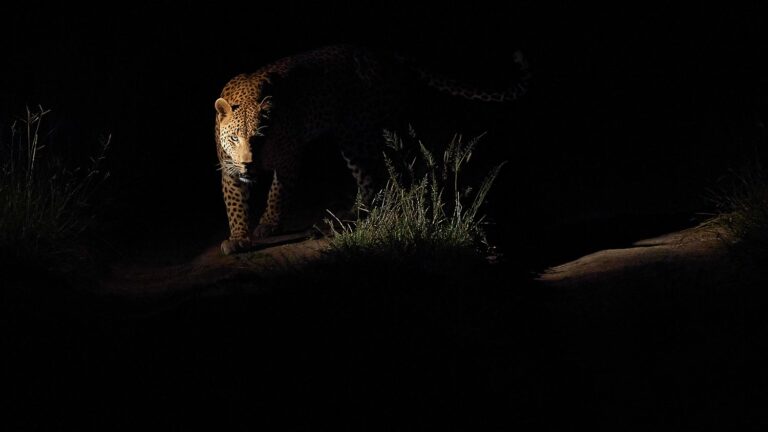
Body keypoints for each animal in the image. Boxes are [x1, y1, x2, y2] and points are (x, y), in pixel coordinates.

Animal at [215, 44, 529, 255]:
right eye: (234, 139)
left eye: (260, 137)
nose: (248, 164)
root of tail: (384, 53)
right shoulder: (229, 167)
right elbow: (235, 204)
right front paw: (239, 237)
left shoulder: (289, 159)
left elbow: (277, 195)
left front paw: (267, 224)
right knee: (371, 181)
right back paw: (349, 214)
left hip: (356, 134)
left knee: (378, 177)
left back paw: (348, 218)